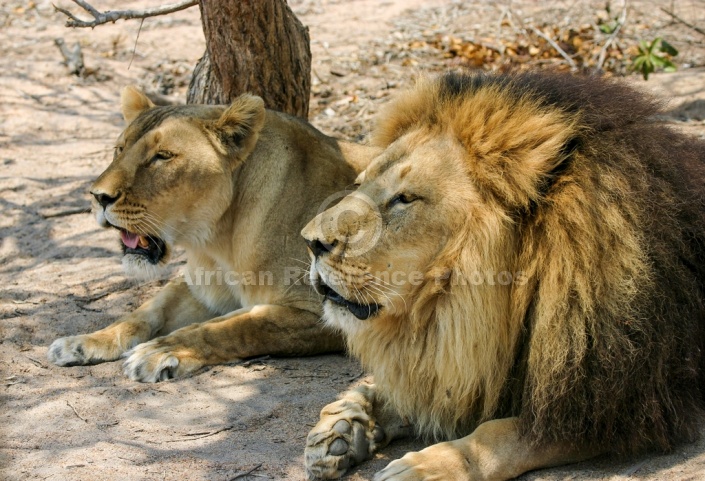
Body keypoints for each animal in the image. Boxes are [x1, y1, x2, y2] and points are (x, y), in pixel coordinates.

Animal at [47, 84, 374, 380]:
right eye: (119, 149)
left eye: (162, 156)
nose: (98, 197)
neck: (219, 239)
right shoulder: (199, 286)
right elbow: (148, 309)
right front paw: (84, 342)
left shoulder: (327, 311)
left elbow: (238, 326)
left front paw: (160, 351)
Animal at [302, 72, 704, 480]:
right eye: (360, 184)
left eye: (405, 198)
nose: (310, 241)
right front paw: (345, 424)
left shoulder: (615, 404)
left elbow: (501, 435)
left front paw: (428, 466)